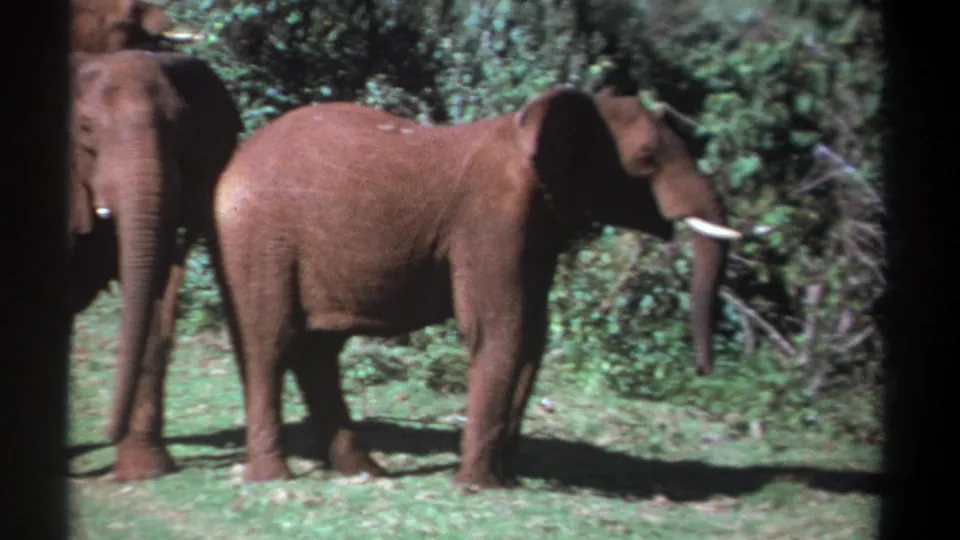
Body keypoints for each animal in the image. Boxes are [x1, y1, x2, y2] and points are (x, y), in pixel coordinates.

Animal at [211, 85, 742, 488]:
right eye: (647, 159)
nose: (704, 370)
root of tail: (232, 163)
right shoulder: (491, 218)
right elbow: (498, 329)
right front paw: (479, 487)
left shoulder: (536, 227)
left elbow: (532, 335)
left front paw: (506, 481)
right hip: (258, 238)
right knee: (269, 342)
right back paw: (274, 478)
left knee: (318, 351)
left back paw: (366, 473)